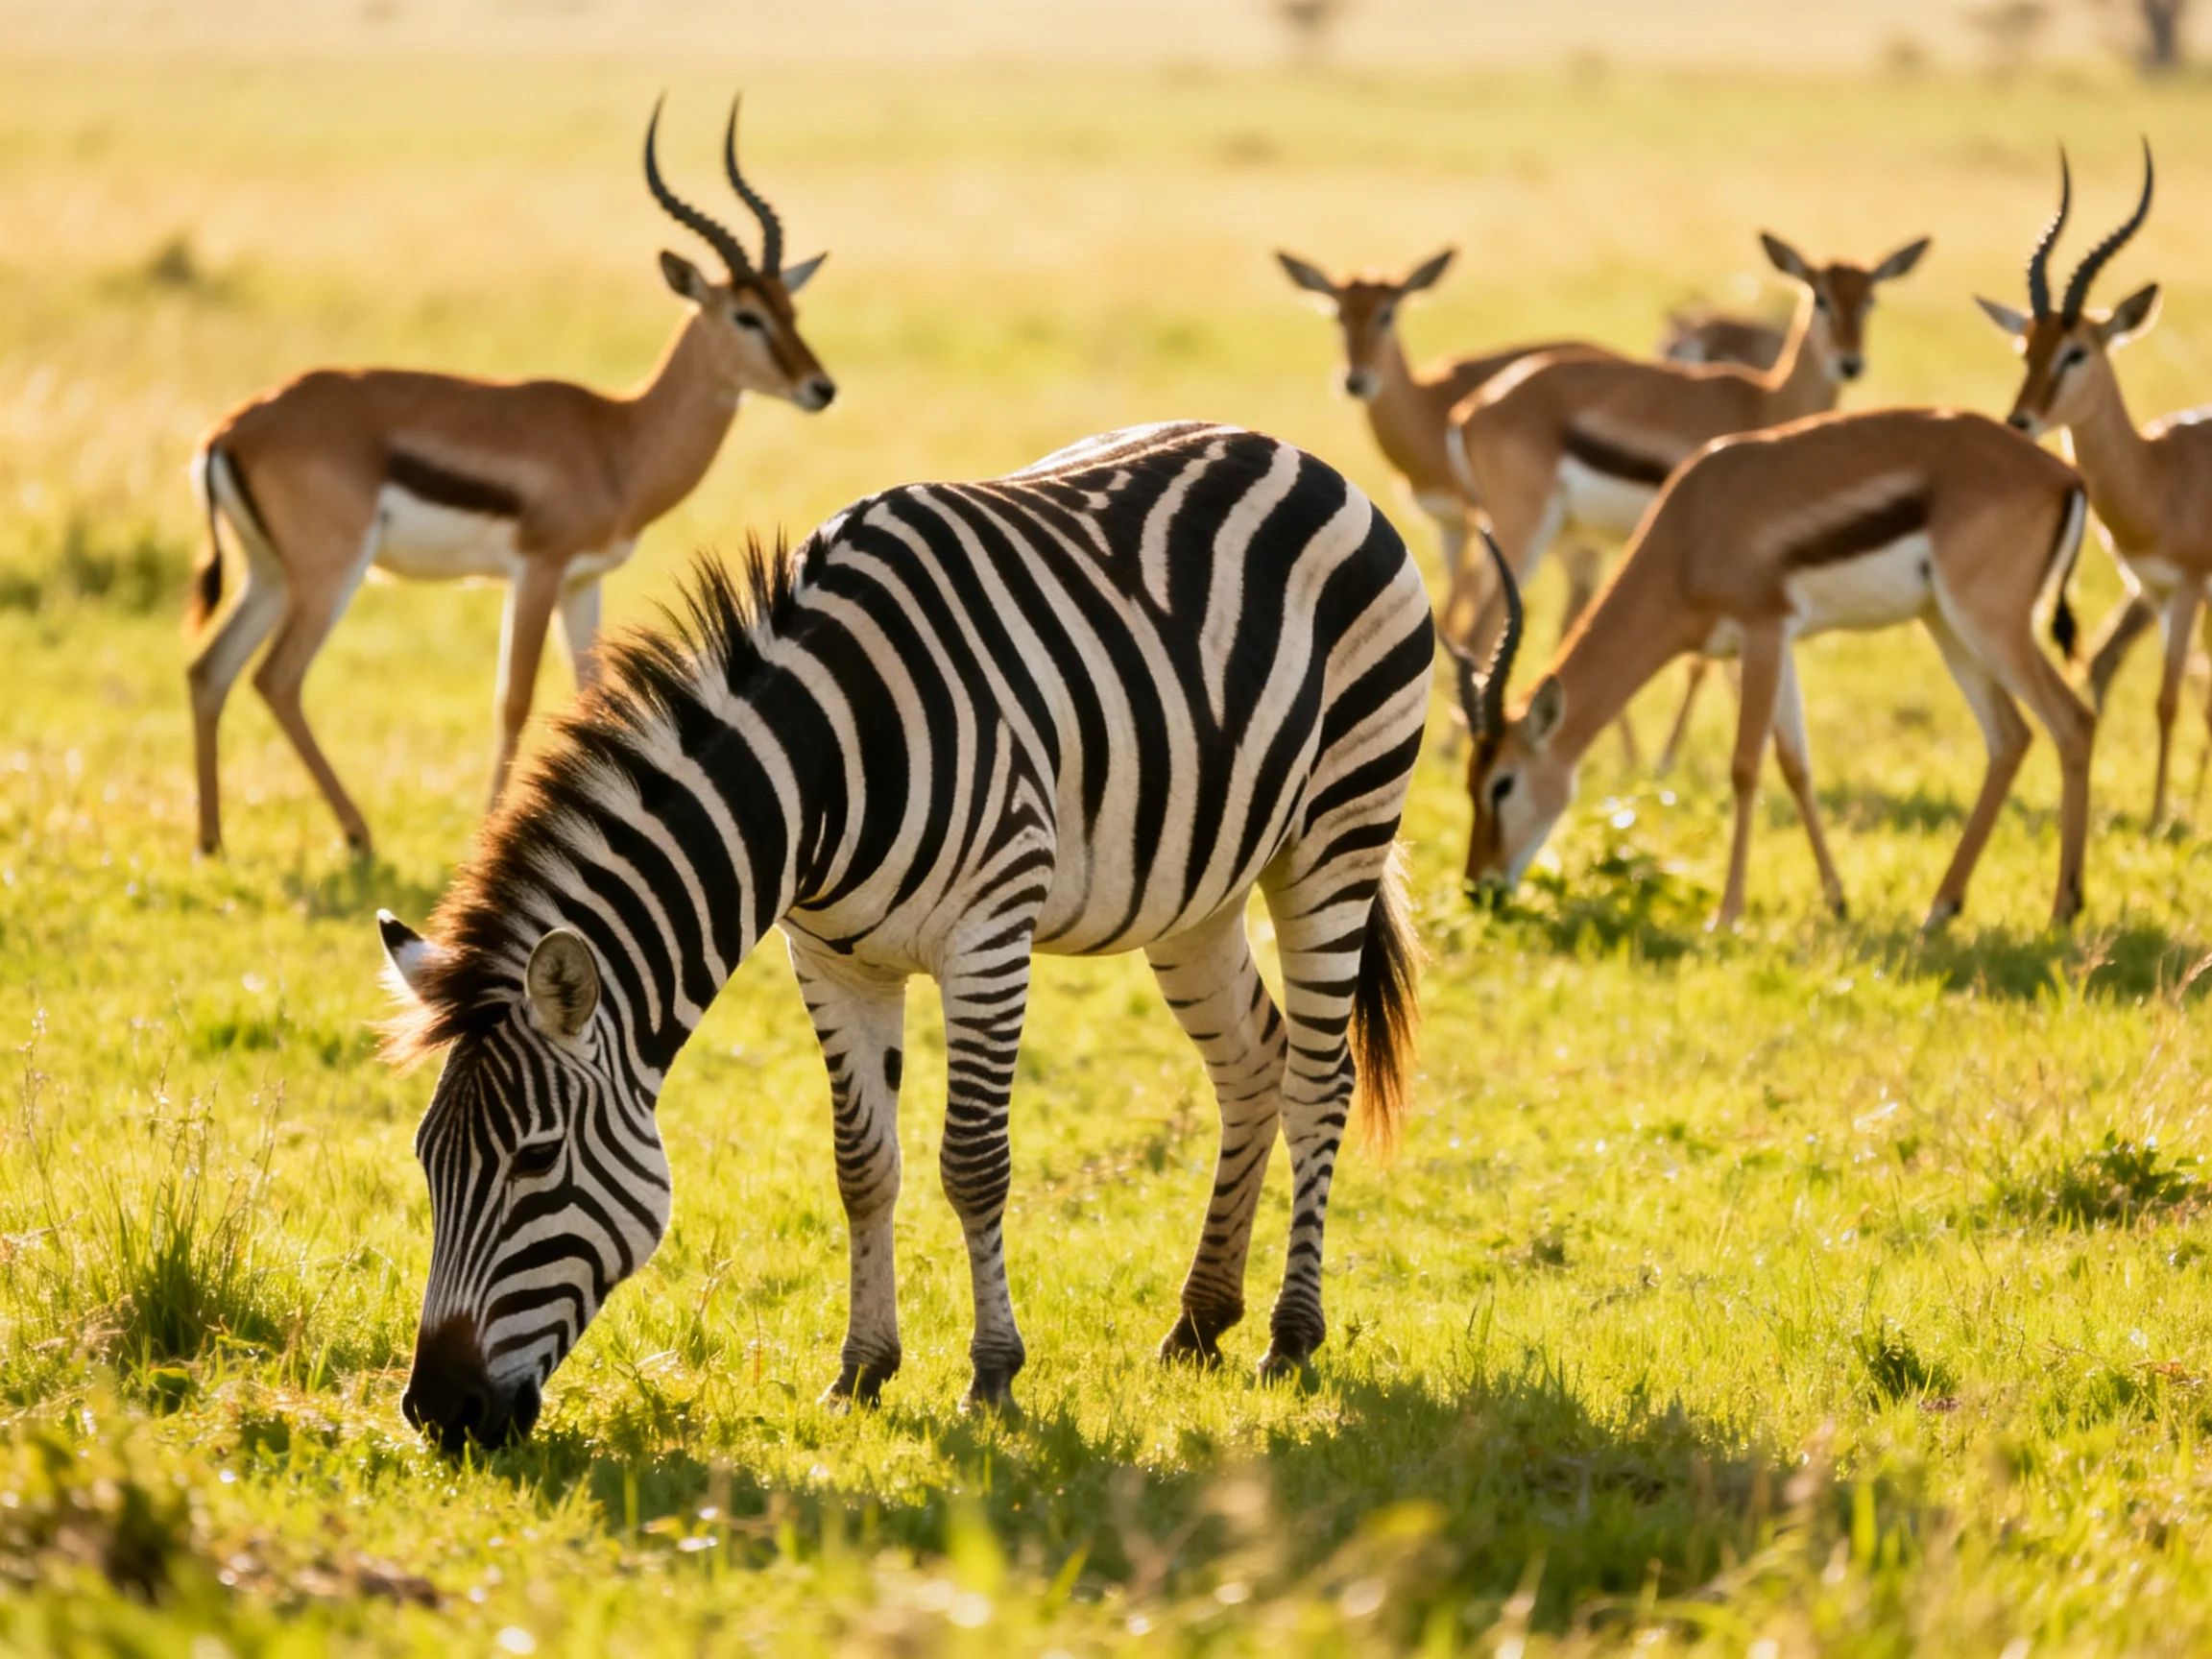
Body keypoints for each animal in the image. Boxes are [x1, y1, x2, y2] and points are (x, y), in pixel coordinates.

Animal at [378, 421, 1434, 1449]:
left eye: (535, 1160)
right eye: (428, 1160)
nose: (437, 1413)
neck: (826, 765)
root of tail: (1294, 453)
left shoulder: (988, 936)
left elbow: (972, 1164)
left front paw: (993, 1377)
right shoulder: (829, 958)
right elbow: (862, 1167)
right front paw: (861, 1371)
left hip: (1338, 828)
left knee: (1318, 1077)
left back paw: (1290, 1338)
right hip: (1194, 890)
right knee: (1252, 1063)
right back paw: (1201, 1321)